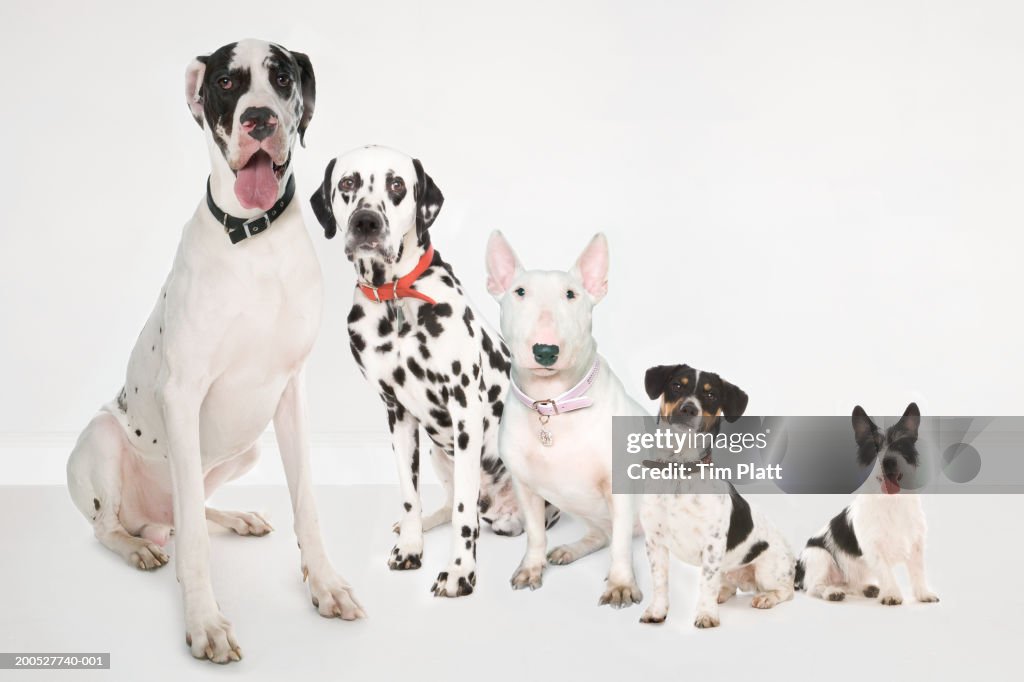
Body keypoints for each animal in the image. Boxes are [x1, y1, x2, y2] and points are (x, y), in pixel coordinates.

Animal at [65, 39, 364, 659]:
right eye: (226, 82)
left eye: (282, 77)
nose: (260, 119)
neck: (252, 240)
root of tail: (148, 519)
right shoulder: (182, 394)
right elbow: (197, 550)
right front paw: (204, 621)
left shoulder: (291, 393)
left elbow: (308, 503)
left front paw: (325, 584)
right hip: (101, 438)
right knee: (116, 528)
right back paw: (139, 547)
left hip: (246, 449)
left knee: (191, 512)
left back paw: (234, 517)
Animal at [309, 144, 557, 593]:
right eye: (348, 183)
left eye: (396, 185)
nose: (366, 222)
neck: (397, 298)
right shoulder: (397, 415)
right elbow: (411, 496)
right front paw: (411, 547)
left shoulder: (465, 410)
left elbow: (463, 514)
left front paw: (460, 571)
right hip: (439, 454)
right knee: (447, 503)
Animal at [485, 229, 638, 606]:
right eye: (519, 292)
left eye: (571, 294)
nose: (545, 351)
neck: (552, 404)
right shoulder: (524, 486)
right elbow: (535, 533)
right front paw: (531, 568)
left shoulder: (620, 487)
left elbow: (622, 546)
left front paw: (621, 584)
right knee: (602, 535)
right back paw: (570, 549)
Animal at [638, 360, 790, 626]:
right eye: (677, 385)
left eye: (711, 395)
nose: (689, 409)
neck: (679, 471)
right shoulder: (655, 542)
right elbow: (659, 582)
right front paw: (657, 611)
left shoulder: (712, 544)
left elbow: (705, 584)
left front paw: (706, 615)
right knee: (728, 586)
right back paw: (722, 593)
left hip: (767, 570)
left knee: (786, 590)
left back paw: (766, 598)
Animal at [794, 401, 937, 602]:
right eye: (874, 448)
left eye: (900, 446)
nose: (889, 462)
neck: (891, 501)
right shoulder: (873, 548)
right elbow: (886, 572)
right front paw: (892, 594)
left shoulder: (915, 544)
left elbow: (918, 572)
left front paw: (923, 593)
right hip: (820, 557)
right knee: (815, 587)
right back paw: (832, 592)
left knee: (850, 585)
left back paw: (866, 588)